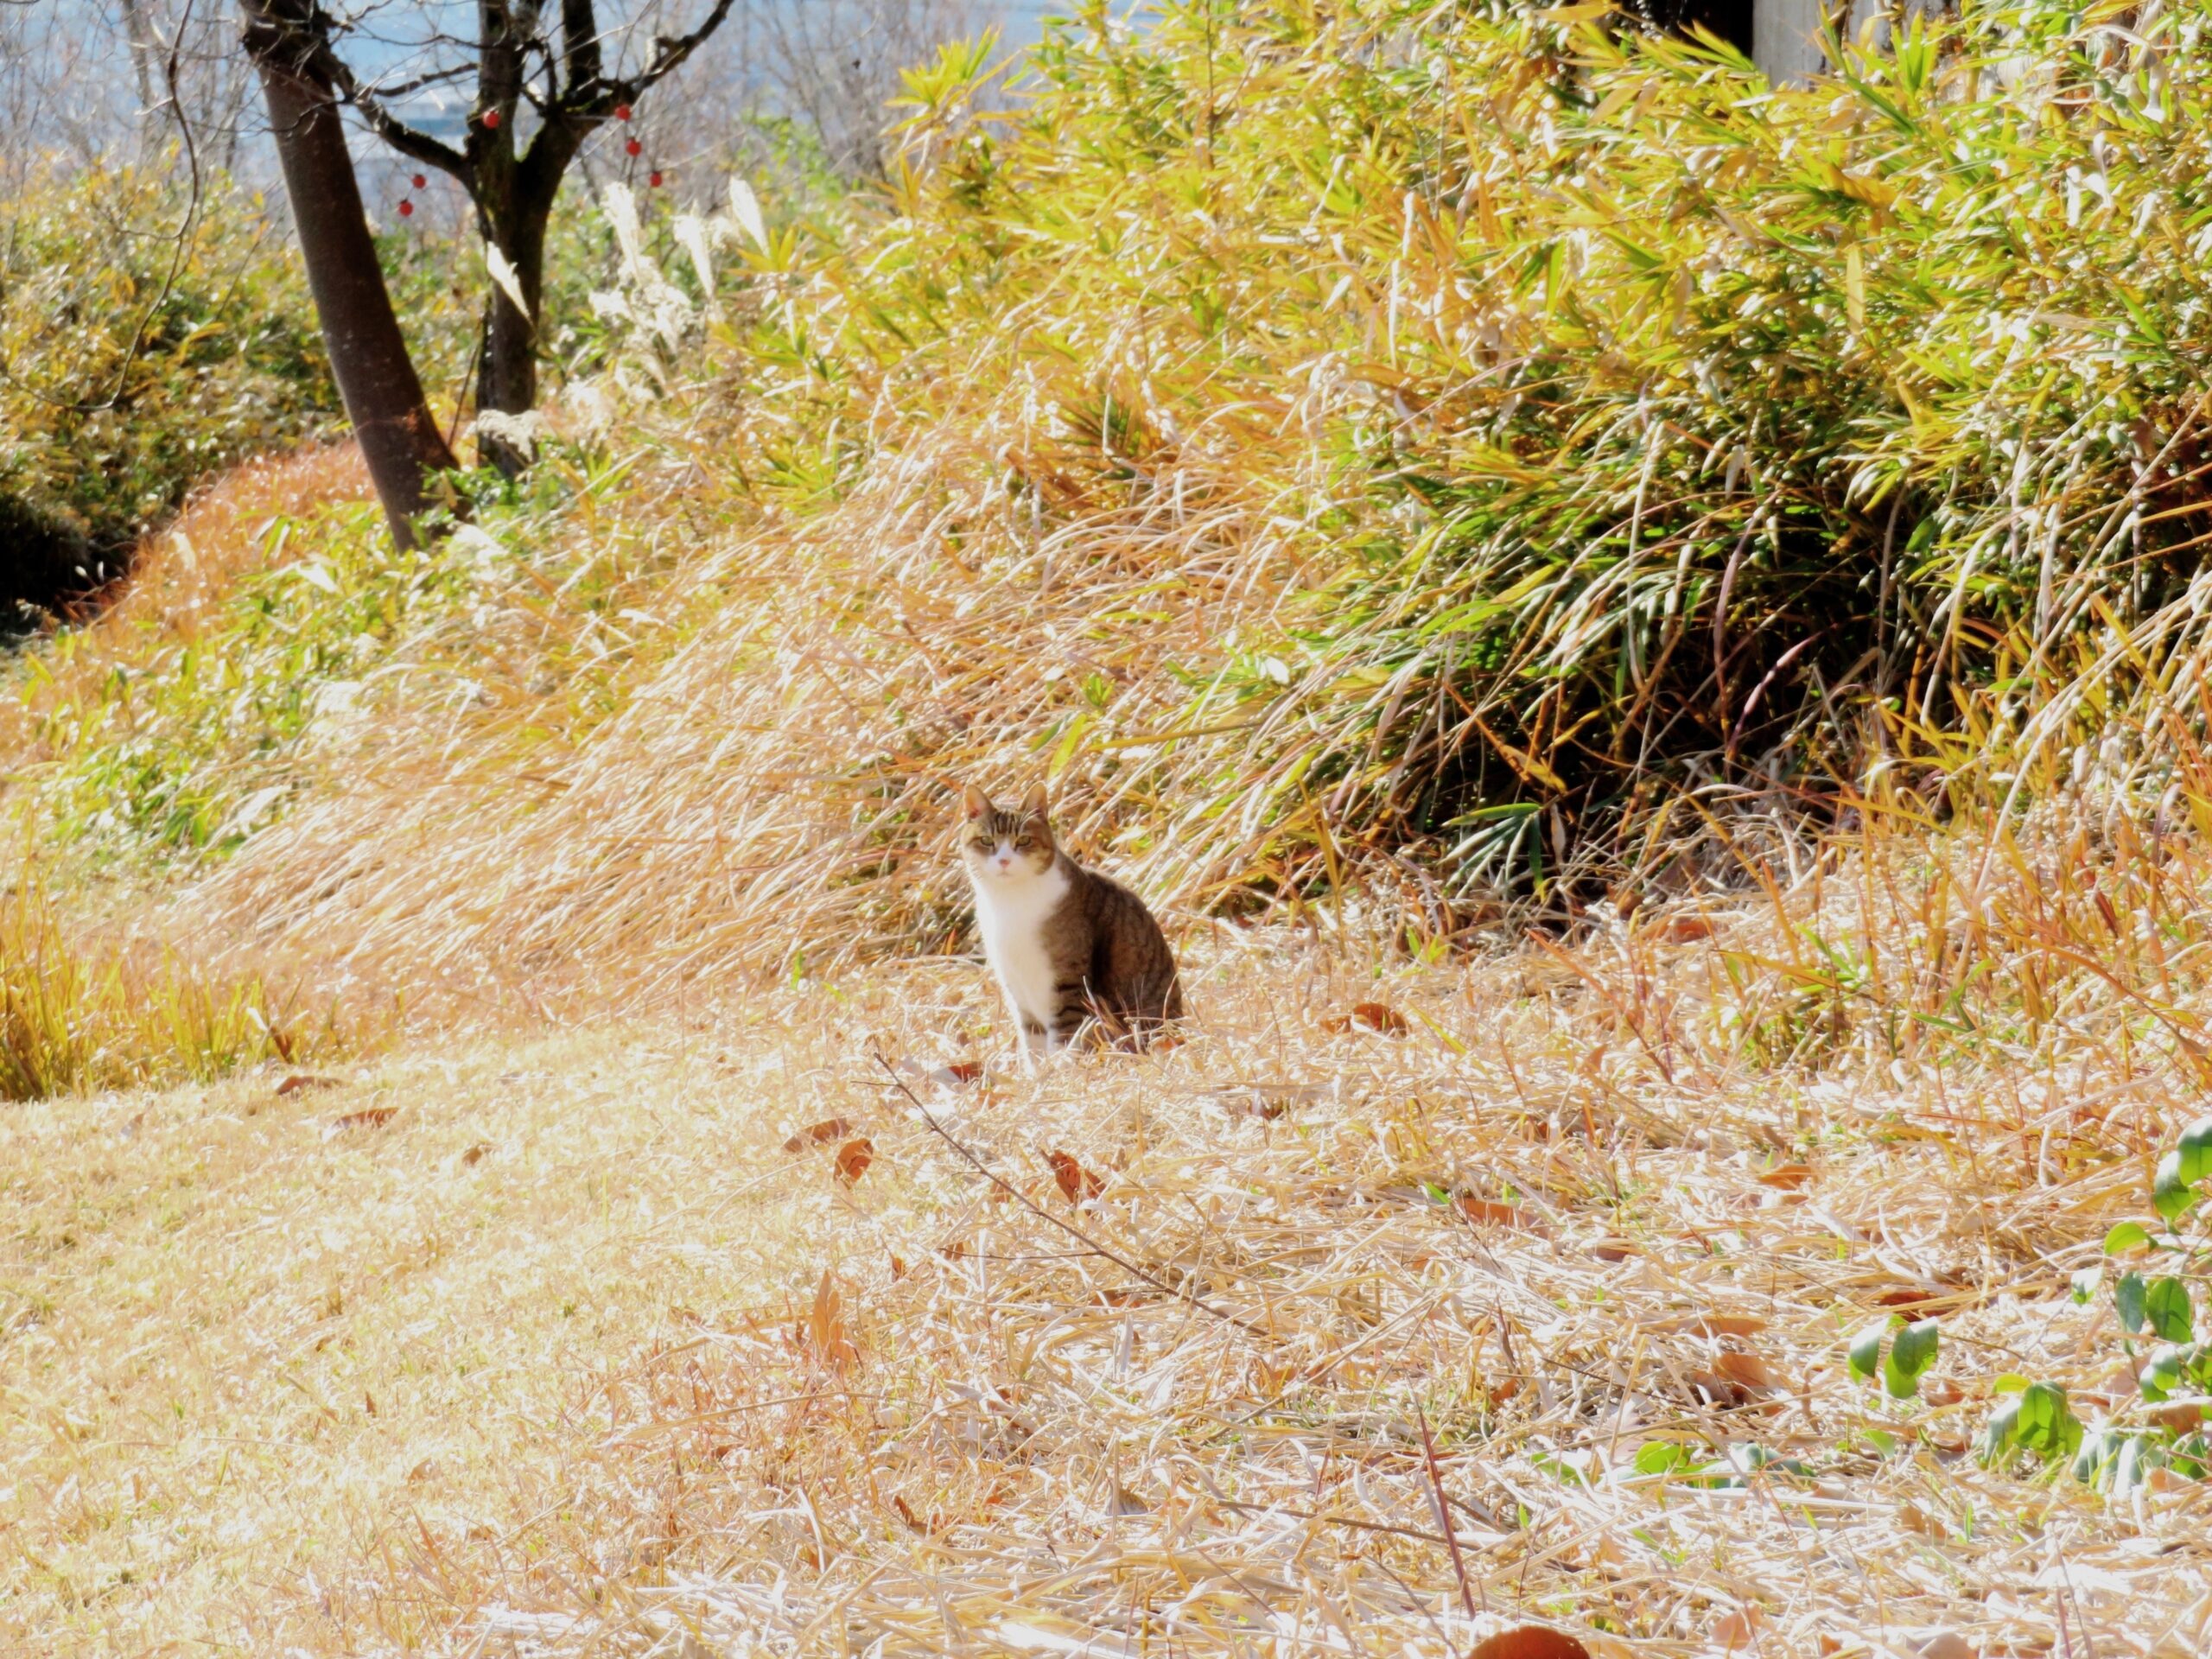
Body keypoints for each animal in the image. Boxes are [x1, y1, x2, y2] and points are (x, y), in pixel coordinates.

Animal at [960, 783, 1185, 1065]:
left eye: (1024, 841)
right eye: (986, 841)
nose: (1004, 861)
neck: (1009, 902)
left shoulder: (1068, 982)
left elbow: (1063, 1035)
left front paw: (1060, 1069)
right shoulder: (1015, 986)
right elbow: (1032, 1040)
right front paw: (1038, 1074)